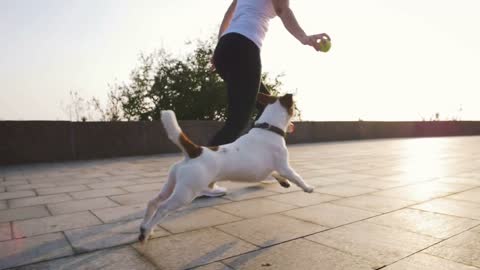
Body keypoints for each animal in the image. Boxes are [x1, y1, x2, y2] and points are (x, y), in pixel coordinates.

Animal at [139, 93, 316, 243]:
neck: (268, 128)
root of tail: (195, 151)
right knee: (162, 208)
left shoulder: (266, 169)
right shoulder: (284, 166)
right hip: (185, 193)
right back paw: (147, 231)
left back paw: (145, 227)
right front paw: (307, 188)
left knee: (153, 201)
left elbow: (274, 174)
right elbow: (296, 176)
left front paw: (284, 182)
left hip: (171, 184)